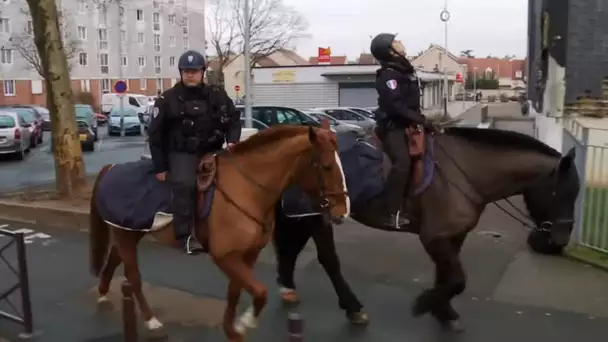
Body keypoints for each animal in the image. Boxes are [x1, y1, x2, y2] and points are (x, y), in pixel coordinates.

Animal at [88, 123, 350, 342]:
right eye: (327, 167)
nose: (343, 212)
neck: (247, 189)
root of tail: (109, 168)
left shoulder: (247, 255)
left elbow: (236, 292)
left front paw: (231, 330)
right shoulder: (224, 256)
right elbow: (260, 292)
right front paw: (244, 324)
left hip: (130, 232)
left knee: (114, 258)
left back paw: (102, 293)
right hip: (126, 236)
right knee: (133, 277)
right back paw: (152, 321)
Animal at [270, 126, 580, 332]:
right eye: (562, 192)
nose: (558, 240)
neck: (462, 173)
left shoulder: (452, 237)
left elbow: (447, 277)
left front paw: (443, 311)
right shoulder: (433, 238)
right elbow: (457, 280)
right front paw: (425, 304)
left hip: (304, 215)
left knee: (291, 248)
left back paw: (288, 289)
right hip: (318, 216)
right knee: (328, 260)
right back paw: (353, 308)